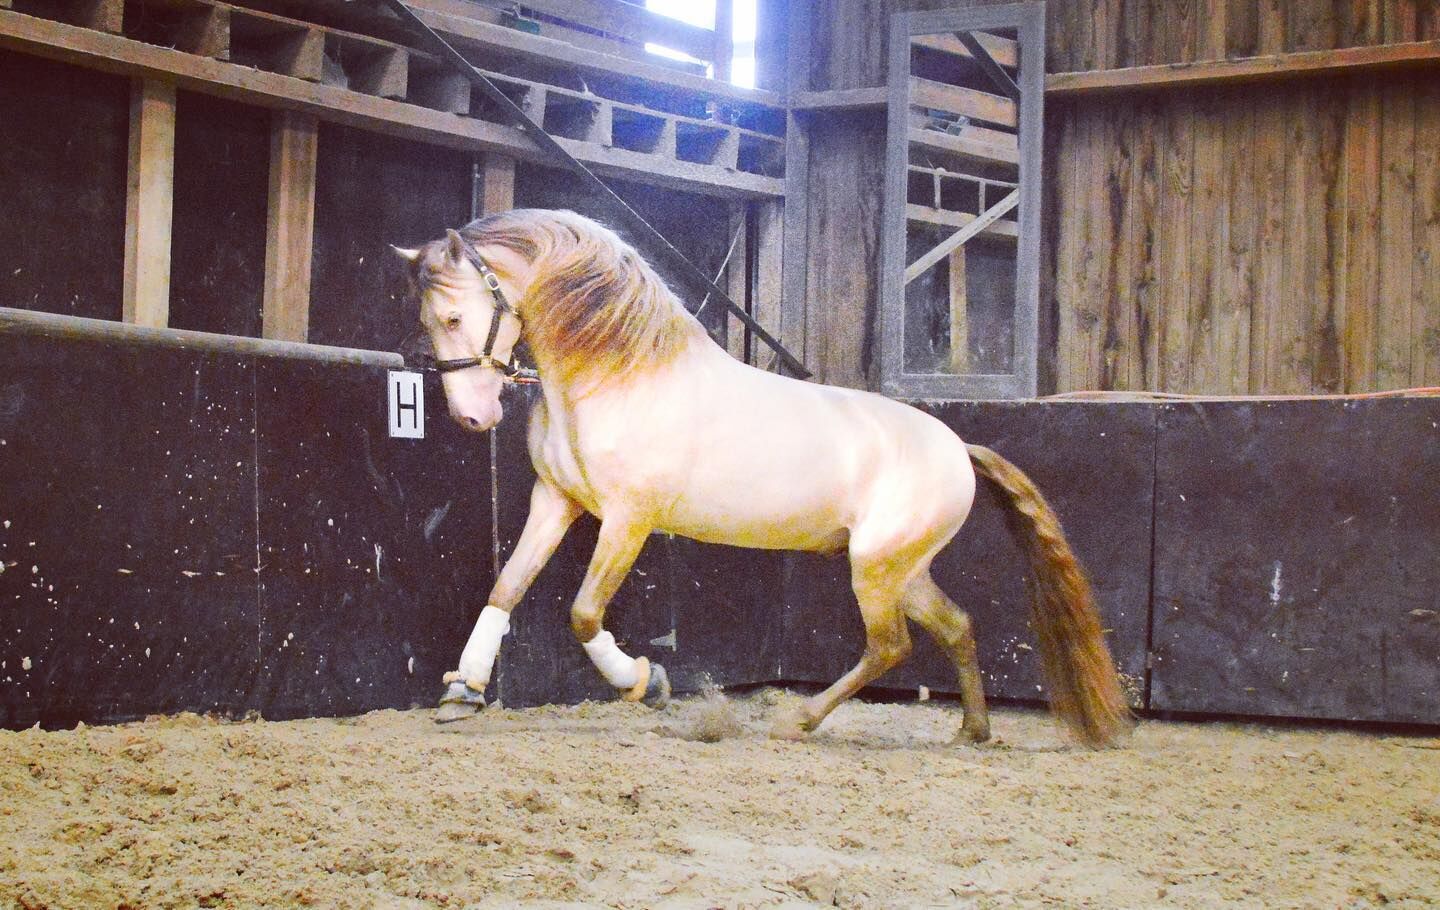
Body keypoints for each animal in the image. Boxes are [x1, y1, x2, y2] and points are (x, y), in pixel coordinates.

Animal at [393, 209, 1132, 748]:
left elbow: (581, 613)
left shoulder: (628, 519)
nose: (472, 416)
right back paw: (972, 731)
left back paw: (798, 720)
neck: (618, 377)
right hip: (902, 569)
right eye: (425, 321)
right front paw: (462, 692)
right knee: (956, 627)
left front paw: (645, 683)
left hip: (875, 568)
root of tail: (958, 447)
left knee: (890, 645)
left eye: (455, 316)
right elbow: (506, 587)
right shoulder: (556, 501)